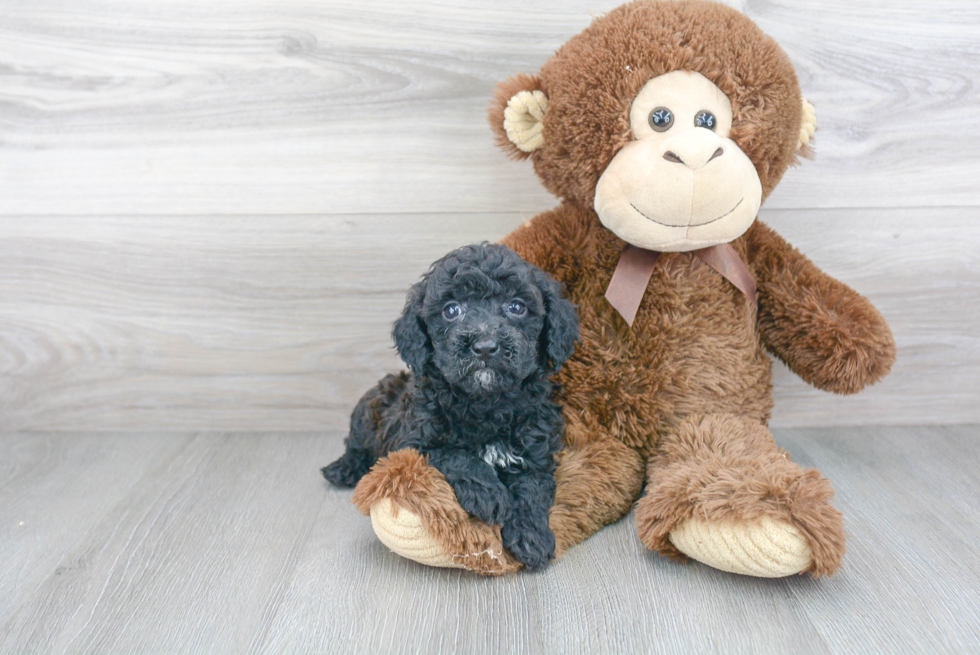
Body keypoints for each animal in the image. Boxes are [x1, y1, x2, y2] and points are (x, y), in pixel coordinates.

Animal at [322, 243, 580, 572]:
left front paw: (532, 536)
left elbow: (531, 489)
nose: (484, 346)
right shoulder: (412, 443)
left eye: (517, 306)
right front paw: (489, 493)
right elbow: (456, 455)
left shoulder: (535, 450)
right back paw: (341, 468)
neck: (486, 402)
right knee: (354, 445)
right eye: (451, 310)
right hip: (370, 406)